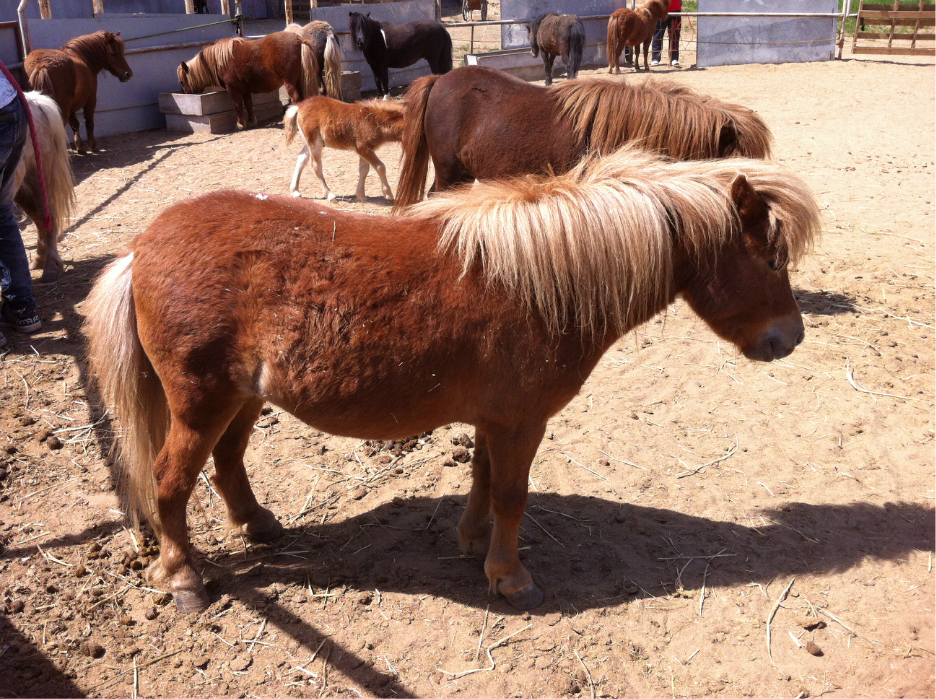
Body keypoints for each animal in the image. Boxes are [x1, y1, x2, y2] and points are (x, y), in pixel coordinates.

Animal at [15, 91, 76, 284]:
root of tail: (35, 100)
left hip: (38, 178)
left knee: (47, 216)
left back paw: (50, 267)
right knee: (39, 218)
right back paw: (39, 259)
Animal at [86, 146, 820, 612]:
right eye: (772, 258)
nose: (790, 338)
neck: (541, 281)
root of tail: (142, 246)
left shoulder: (497, 419)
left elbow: (484, 480)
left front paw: (474, 546)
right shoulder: (522, 422)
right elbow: (513, 495)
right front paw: (511, 577)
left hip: (240, 399)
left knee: (228, 462)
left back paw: (258, 524)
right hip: (199, 402)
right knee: (171, 482)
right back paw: (183, 578)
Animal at [177, 31, 320, 129]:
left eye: (182, 81)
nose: (185, 92)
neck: (220, 61)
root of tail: (299, 40)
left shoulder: (233, 90)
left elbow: (238, 105)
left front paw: (241, 124)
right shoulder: (245, 89)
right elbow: (249, 104)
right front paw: (252, 121)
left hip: (290, 83)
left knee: (296, 99)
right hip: (299, 81)